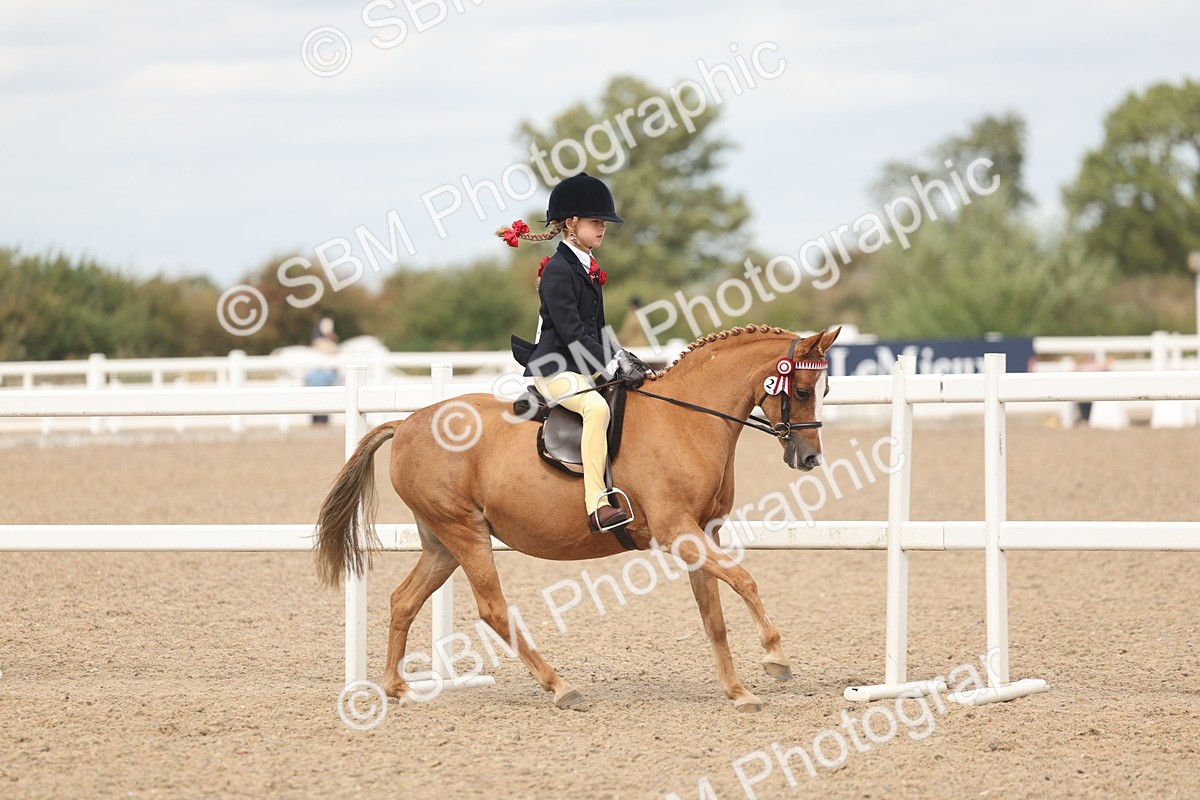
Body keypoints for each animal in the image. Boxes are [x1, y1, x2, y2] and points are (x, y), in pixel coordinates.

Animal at [314, 324, 841, 712]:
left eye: (826, 387)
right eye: (803, 389)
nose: (810, 458)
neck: (687, 420)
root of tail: (405, 423)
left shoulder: (701, 532)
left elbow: (714, 615)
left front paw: (738, 692)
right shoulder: (676, 531)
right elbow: (745, 580)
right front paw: (776, 658)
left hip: (442, 541)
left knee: (403, 601)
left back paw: (398, 688)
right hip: (464, 533)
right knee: (492, 609)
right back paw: (560, 687)